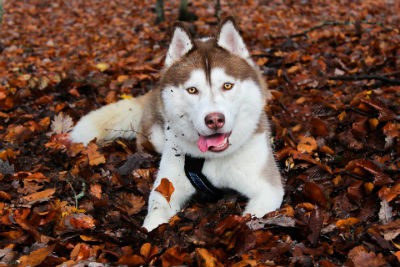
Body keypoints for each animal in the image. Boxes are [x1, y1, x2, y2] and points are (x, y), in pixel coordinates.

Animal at [72, 18, 284, 232]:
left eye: (227, 85)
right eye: (192, 90)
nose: (215, 119)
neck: (213, 158)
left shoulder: (268, 188)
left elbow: (253, 215)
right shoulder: (167, 186)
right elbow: (154, 215)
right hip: (155, 137)